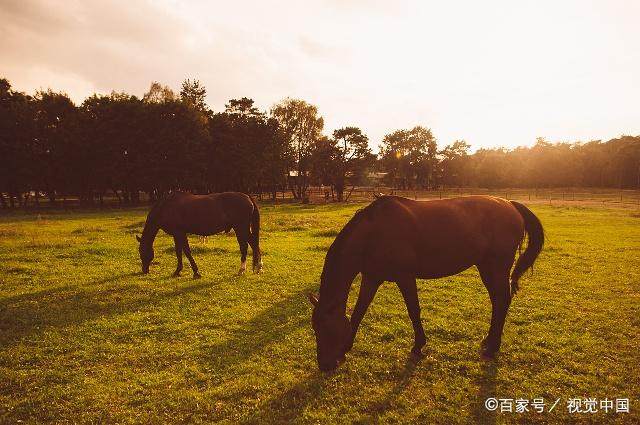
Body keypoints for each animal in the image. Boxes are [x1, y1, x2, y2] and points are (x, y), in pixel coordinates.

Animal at [308, 195, 544, 372]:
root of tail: (509, 204)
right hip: (486, 267)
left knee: (501, 300)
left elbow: (413, 310)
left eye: (325, 328)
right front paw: (346, 348)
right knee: (498, 301)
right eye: (315, 328)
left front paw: (418, 345)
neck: (373, 233)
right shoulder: (371, 278)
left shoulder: (405, 277)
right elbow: (358, 312)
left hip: (496, 267)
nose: (325, 365)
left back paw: (492, 347)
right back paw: (489, 341)